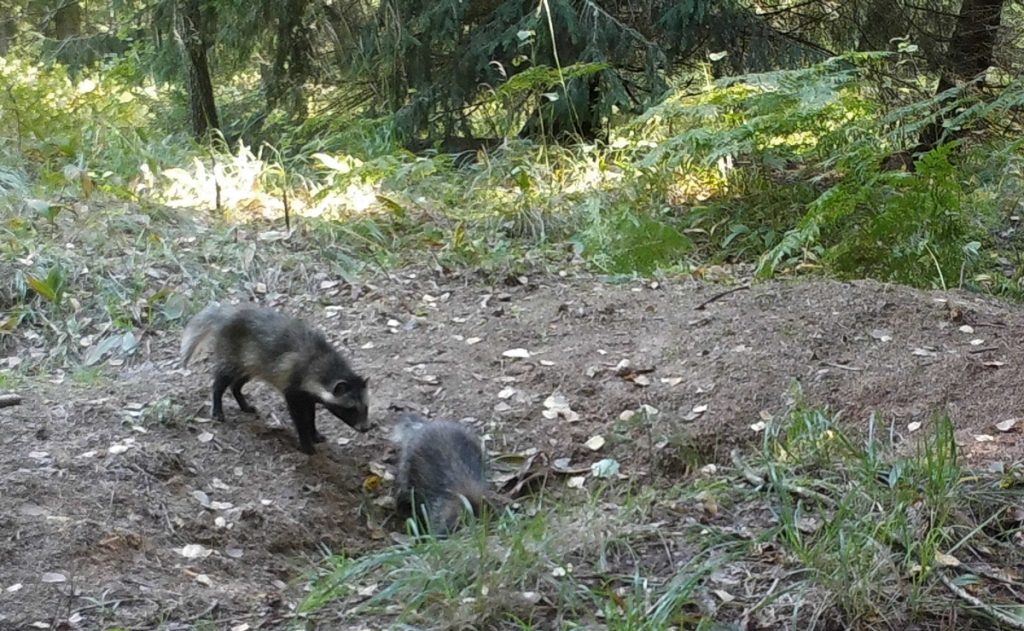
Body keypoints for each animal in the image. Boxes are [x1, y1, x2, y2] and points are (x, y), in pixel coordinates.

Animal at [181, 305, 372, 452]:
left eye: (366, 407)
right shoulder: (294, 386)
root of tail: (226, 312)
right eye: (351, 409)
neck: (324, 361)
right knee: (222, 380)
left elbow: (311, 414)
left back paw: (243, 402)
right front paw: (306, 441)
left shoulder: (309, 392)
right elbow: (299, 416)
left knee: (237, 383)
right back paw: (217, 406)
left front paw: (314, 432)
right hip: (231, 351)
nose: (366, 428)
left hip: (251, 362)